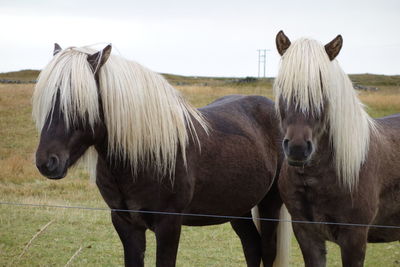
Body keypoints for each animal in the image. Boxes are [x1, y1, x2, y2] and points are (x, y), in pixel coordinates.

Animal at [32, 44, 290, 267]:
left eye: (78, 103)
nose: (47, 162)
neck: (143, 157)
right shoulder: (126, 224)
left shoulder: (169, 224)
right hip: (237, 207)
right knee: (251, 246)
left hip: (269, 204)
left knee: (267, 250)